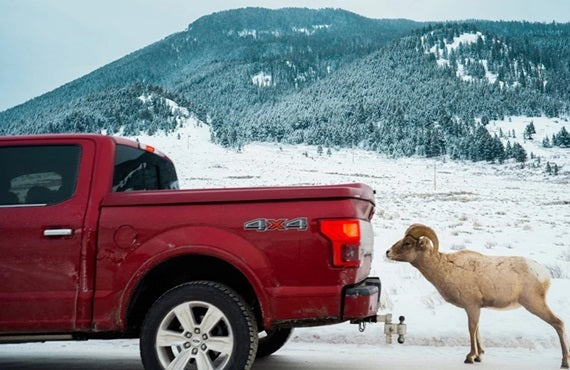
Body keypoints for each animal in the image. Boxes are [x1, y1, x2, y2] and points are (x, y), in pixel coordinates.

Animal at [384, 224, 564, 368]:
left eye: (407, 243)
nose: (387, 252)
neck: (445, 269)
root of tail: (544, 274)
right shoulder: (476, 308)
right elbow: (477, 330)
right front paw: (479, 357)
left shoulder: (471, 307)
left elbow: (471, 329)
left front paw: (470, 357)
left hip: (535, 304)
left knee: (558, 323)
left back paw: (565, 362)